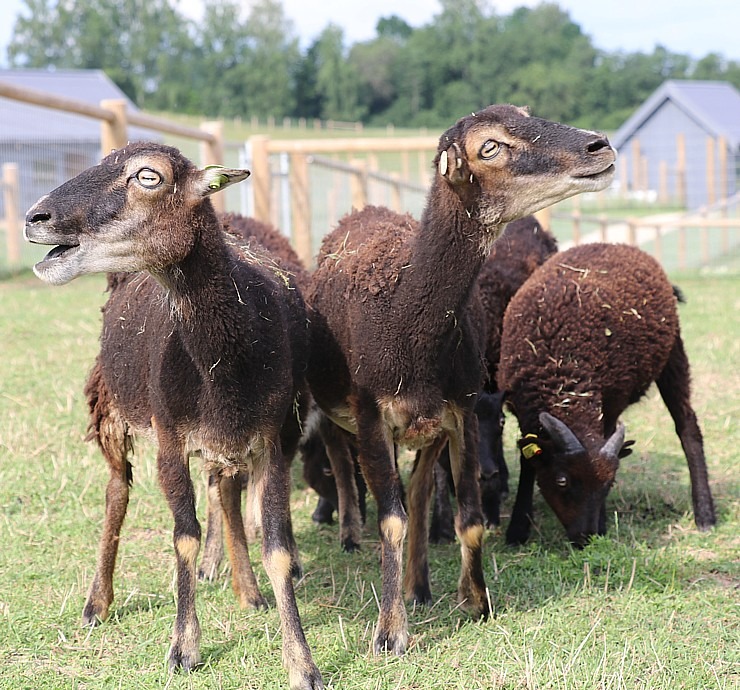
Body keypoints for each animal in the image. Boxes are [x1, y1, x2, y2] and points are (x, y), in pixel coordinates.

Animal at [23, 142, 322, 684]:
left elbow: (277, 548)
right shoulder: (170, 440)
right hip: (111, 407)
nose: (35, 218)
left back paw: (247, 591)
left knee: (223, 493)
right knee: (116, 492)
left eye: (149, 177)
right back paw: (97, 602)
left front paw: (301, 663)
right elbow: (184, 537)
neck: (227, 355)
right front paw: (184, 648)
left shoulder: (274, 441)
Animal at [498, 239, 716, 544]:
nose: (586, 537)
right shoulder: (522, 409)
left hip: (673, 354)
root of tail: (619, 244)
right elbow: (527, 460)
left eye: (609, 483)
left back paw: (705, 516)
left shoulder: (610, 403)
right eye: (562, 480)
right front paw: (517, 529)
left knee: (688, 427)